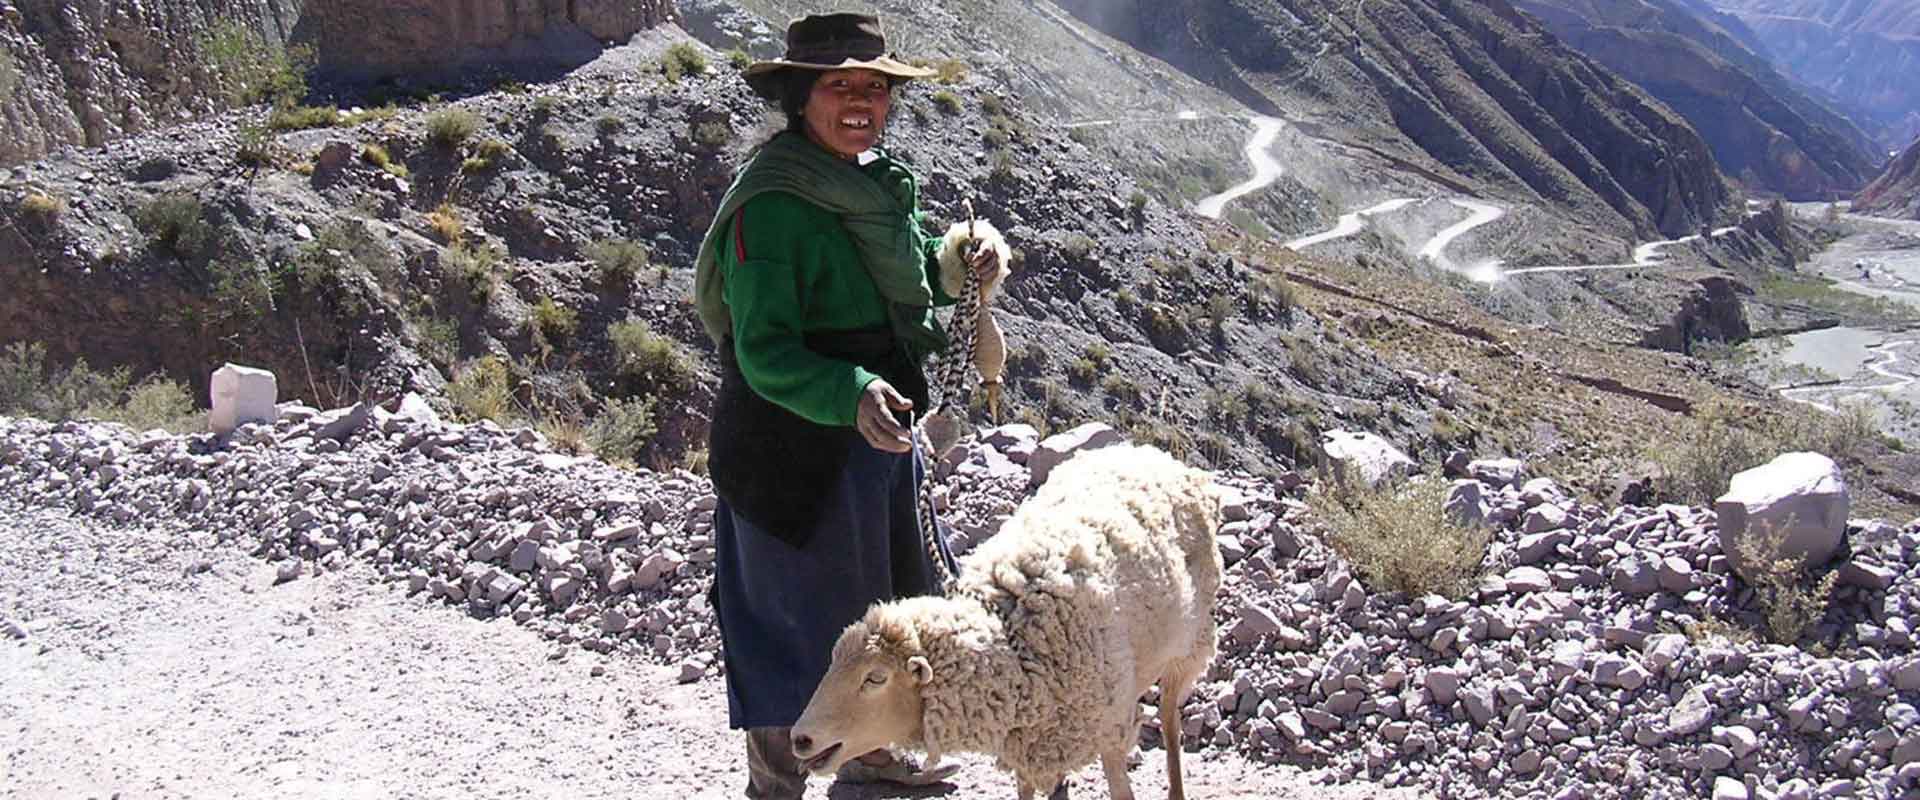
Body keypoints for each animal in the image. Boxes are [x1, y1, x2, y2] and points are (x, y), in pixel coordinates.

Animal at [791, 443, 1223, 800]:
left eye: (875, 678)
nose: (800, 739)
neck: (1015, 643)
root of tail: (1146, 452)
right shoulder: (1025, 740)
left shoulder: (1108, 729)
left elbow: (1122, 789)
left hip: (1191, 644)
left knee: (1169, 719)